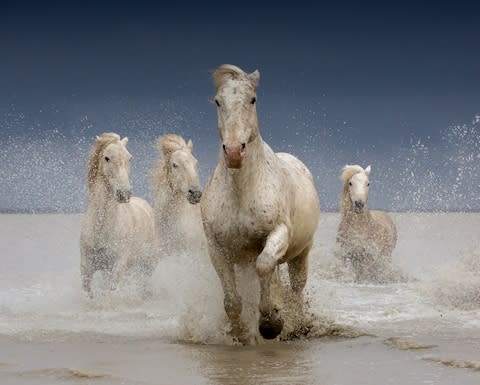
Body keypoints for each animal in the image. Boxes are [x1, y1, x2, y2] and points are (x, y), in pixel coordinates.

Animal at [80, 132, 156, 294]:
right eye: (107, 157)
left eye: (129, 158)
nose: (124, 194)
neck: (101, 229)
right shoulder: (87, 269)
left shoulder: (118, 267)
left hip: (147, 267)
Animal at [201, 63, 320, 342]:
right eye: (218, 101)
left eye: (252, 99)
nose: (235, 152)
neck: (242, 191)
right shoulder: (217, 248)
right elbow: (232, 301)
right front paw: (238, 333)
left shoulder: (278, 233)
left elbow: (265, 266)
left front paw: (271, 324)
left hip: (302, 253)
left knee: (296, 287)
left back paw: (295, 324)